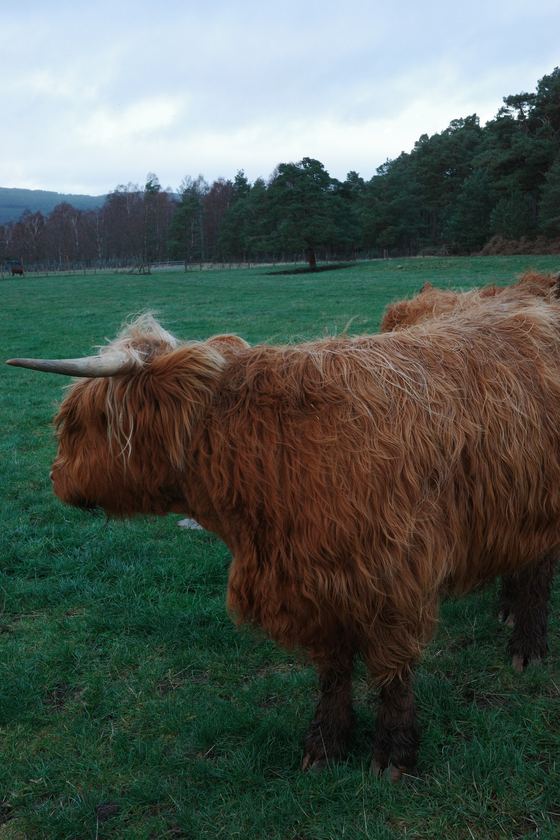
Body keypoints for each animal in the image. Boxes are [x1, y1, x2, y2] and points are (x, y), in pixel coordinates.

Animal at [7, 301, 560, 778]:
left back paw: (526, 646)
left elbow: (393, 673)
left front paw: (393, 755)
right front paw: (326, 745)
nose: (55, 478)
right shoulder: (315, 588)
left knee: (538, 569)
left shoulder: (394, 581)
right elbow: (333, 672)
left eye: (77, 423)